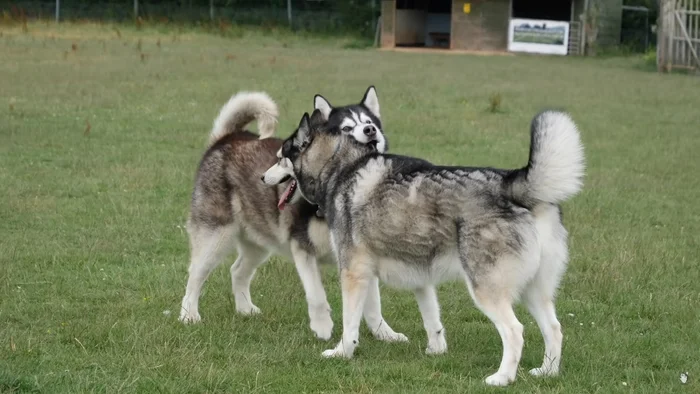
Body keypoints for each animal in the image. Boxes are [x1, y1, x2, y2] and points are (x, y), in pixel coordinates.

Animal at [180, 86, 408, 344]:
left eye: (369, 123)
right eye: (347, 128)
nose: (370, 131)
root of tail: (227, 138)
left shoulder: (360, 256)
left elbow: (373, 305)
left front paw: (385, 333)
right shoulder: (302, 249)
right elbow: (317, 295)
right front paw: (322, 327)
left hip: (258, 242)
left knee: (237, 271)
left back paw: (245, 309)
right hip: (216, 236)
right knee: (195, 274)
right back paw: (189, 315)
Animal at [266, 110, 588, 384]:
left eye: (280, 157)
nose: (262, 177)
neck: (341, 166)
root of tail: (512, 184)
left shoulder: (352, 271)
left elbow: (349, 323)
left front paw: (342, 353)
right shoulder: (413, 276)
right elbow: (431, 319)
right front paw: (436, 351)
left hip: (487, 290)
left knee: (515, 331)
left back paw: (502, 378)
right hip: (534, 291)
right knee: (554, 329)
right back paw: (547, 372)